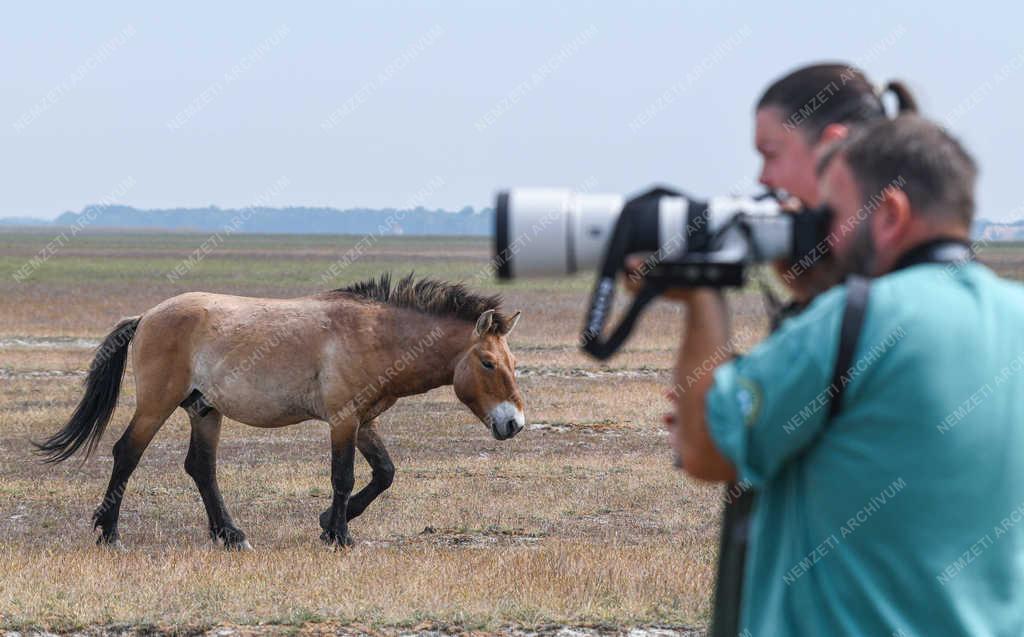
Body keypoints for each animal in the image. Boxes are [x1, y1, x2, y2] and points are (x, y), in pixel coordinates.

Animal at [35, 274, 524, 548]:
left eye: (512, 361)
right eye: (488, 362)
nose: (514, 423)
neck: (375, 335)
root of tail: (147, 316)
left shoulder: (364, 420)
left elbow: (384, 473)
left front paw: (329, 524)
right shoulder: (344, 420)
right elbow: (344, 477)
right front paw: (339, 536)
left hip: (204, 410)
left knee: (201, 468)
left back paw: (231, 536)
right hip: (156, 405)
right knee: (127, 455)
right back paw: (110, 534)